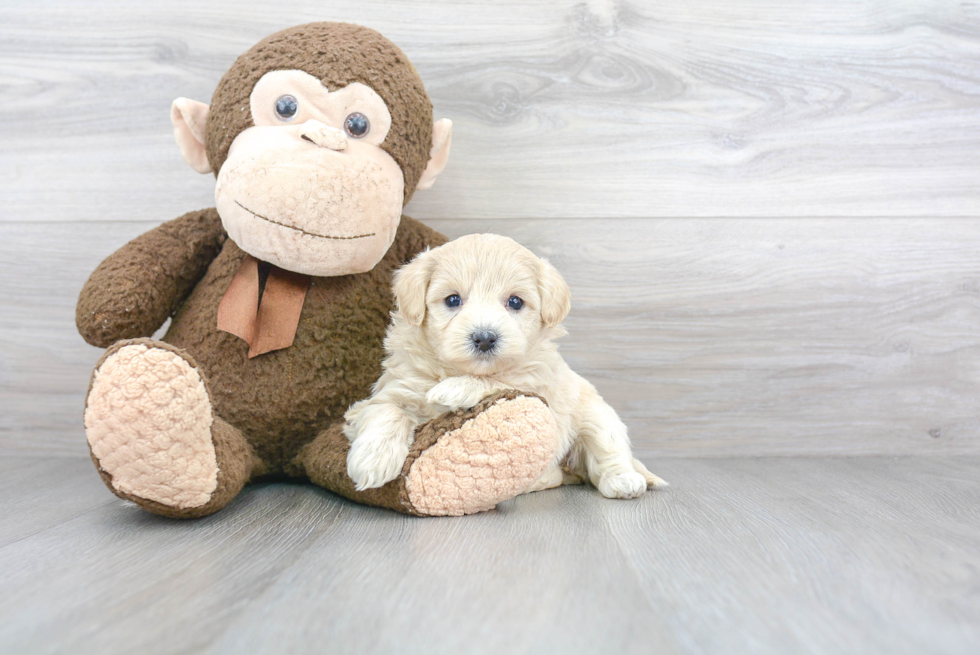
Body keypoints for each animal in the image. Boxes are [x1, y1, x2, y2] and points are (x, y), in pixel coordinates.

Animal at [340, 234, 668, 498]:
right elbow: (385, 411)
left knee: (609, 452)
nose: (485, 338)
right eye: (453, 300)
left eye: (515, 302)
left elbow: (501, 381)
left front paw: (455, 390)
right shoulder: (393, 389)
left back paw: (624, 481)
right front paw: (372, 460)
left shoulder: (537, 383)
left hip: (598, 416)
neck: (457, 368)